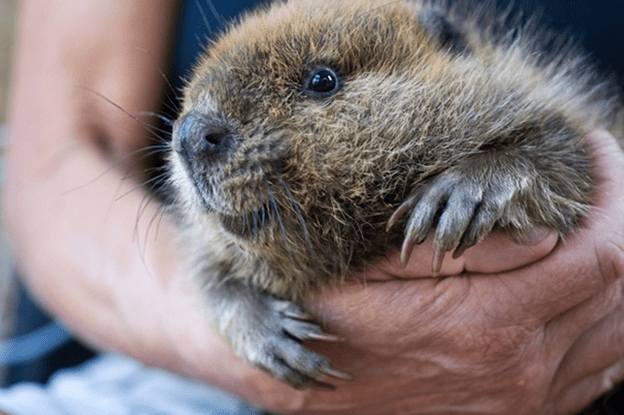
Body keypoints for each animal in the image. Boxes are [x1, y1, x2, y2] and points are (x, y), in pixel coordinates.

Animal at [166, 0, 624, 390]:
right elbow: (211, 269)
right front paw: (273, 336)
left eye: (322, 79)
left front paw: (457, 196)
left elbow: (562, 155)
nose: (190, 135)